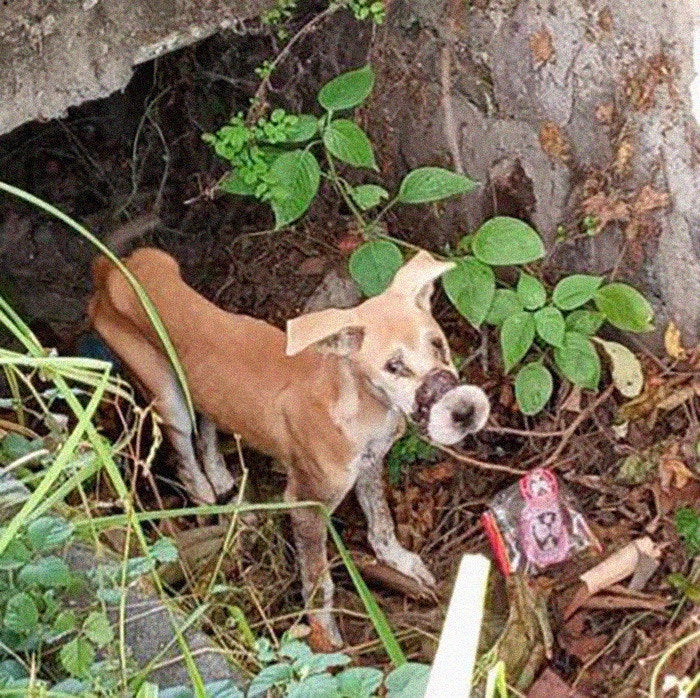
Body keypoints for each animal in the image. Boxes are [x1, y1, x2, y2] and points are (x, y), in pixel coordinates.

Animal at [90, 247, 490, 644]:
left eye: (438, 344)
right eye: (393, 366)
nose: (465, 412)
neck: (362, 405)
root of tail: (111, 266)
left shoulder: (370, 464)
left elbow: (382, 522)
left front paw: (402, 562)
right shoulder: (305, 503)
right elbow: (318, 582)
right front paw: (325, 639)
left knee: (209, 423)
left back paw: (224, 482)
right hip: (167, 397)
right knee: (186, 462)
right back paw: (209, 503)